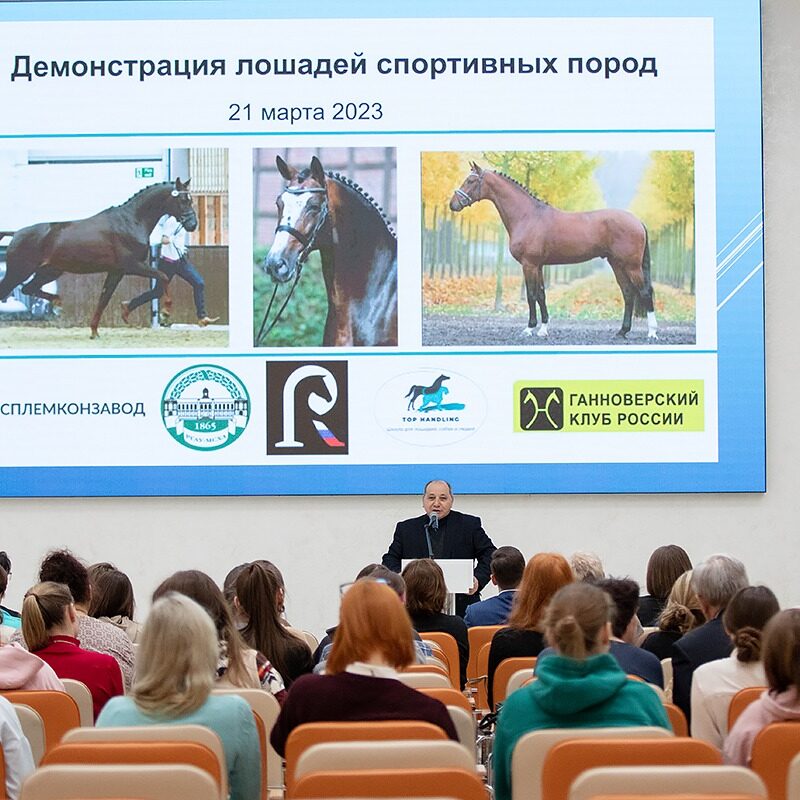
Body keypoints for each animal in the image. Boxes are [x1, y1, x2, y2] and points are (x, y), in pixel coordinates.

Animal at [0, 178, 197, 338]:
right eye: (182, 200)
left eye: (191, 200)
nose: (193, 225)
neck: (130, 221)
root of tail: (16, 233)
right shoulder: (133, 266)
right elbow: (163, 277)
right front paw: (165, 312)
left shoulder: (117, 271)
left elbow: (104, 299)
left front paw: (96, 330)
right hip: (19, 271)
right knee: (10, 290)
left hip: (49, 272)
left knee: (28, 289)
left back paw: (57, 301)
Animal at [449, 162, 657, 340]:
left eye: (471, 181)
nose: (453, 204)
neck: (528, 216)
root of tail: (637, 221)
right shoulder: (539, 266)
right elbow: (541, 295)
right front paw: (543, 329)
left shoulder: (529, 265)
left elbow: (531, 295)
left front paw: (529, 328)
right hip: (617, 264)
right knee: (628, 293)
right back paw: (622, 332)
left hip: (631, 266)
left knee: (645, 292)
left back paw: (652, 333)